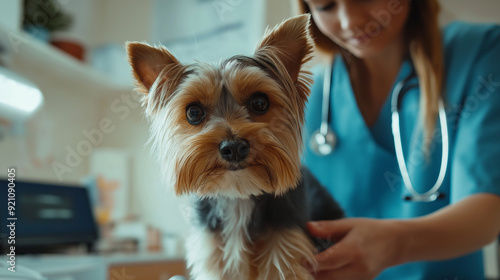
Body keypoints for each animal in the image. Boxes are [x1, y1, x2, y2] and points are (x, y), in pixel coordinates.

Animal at [126, 14, 344, 280]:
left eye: (259, 102)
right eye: (194, 112)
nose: (234, 147)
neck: (238, 195)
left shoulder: (286, 250)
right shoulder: (212, 255)